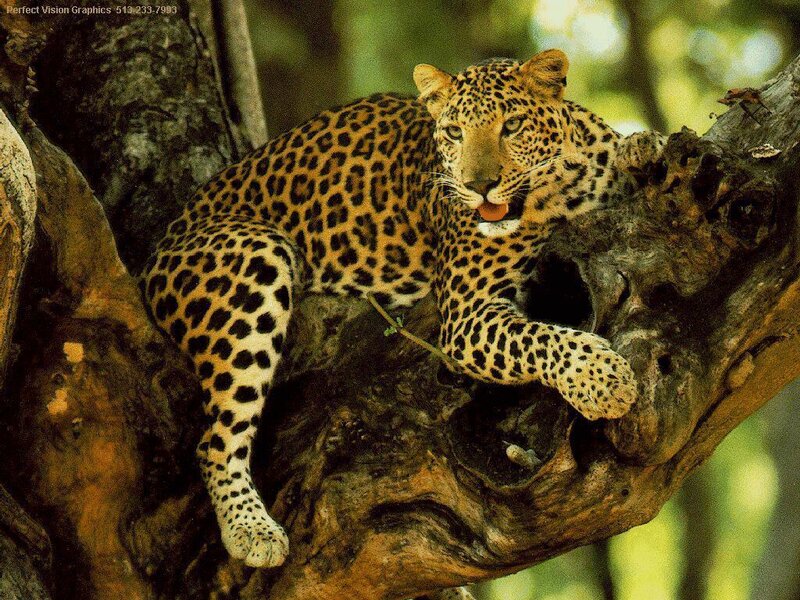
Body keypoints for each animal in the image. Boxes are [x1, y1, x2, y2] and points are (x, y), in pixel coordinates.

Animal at [141, 48, 664, 577]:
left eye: (512, 126)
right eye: (454, 132)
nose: (479, 187)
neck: (563, 193)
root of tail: (155, 250)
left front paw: (645, 147)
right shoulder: (467, 314)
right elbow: (542, 339)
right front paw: (603, 379)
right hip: (254, 255)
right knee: (214, 439)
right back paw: (252, 528)